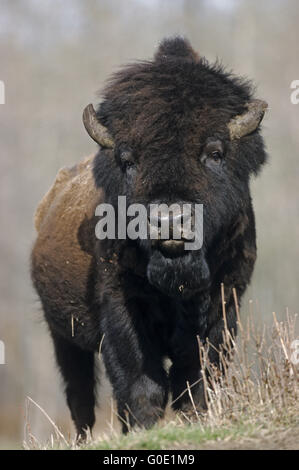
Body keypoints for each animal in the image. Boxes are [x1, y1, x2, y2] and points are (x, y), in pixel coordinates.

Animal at [31, 37, 270, 440]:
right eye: (128, 160)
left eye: (215, 152)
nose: (169, 221)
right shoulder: (122, 310)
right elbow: (142, 383)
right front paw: (144, 428)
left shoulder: (224, 306)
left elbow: (198, 379)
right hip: (62, 335)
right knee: (80, 395)